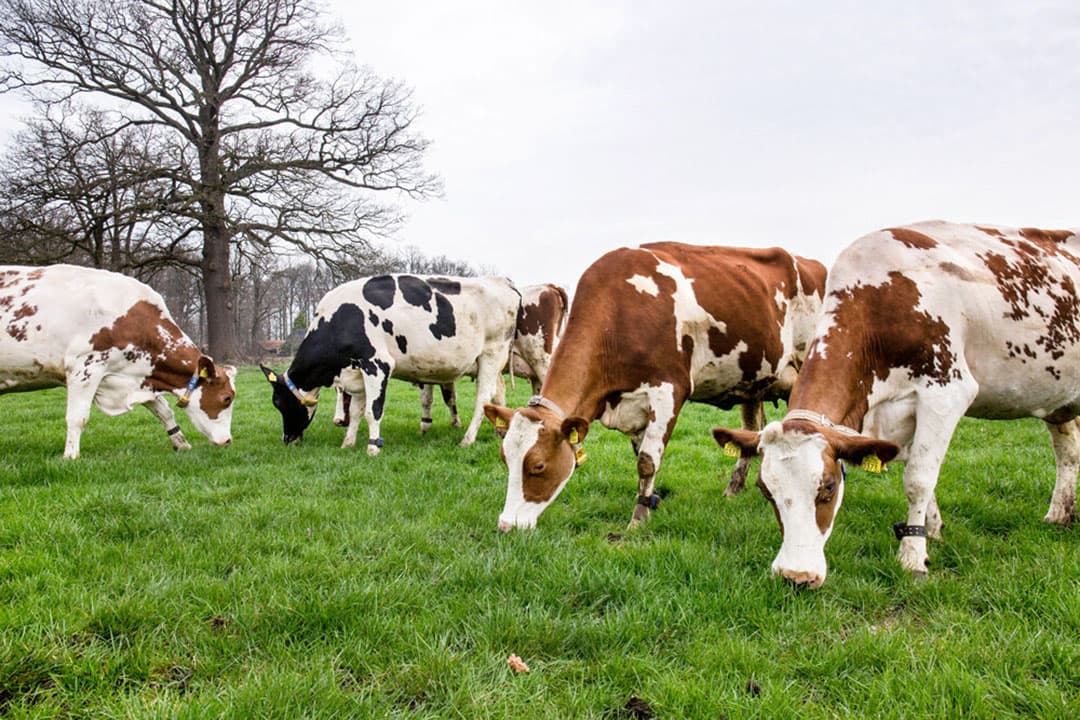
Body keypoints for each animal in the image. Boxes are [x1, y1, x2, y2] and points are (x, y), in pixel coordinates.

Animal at [0, 264, 236, 458]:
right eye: (226, 398)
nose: (227, 440)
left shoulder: (135, 375)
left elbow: (163, 410)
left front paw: (181, 443)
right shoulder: (84, 369)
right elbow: (77, 417)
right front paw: (70, 456)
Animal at [262, 274, 520, 453]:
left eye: (279, 403)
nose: (287, 439)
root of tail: (502, 281)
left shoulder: (377, 364)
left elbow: (372, 411)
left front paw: (373, 446)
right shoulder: (356, 372)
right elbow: (356, 411)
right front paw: (348, 442)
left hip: (491, 354)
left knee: (483, 398)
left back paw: (467, 439)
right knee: (498, 393)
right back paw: (499, 432)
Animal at [484, 242, 827, 531]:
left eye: (538, 465)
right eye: (504, 460)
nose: (506, 525)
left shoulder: (668, 389)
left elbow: (648, 461)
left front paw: (637, 520)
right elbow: (640, 454)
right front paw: (650, 501)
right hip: (752, 379)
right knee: (751, 430)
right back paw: (735, 487)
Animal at [713, 221, 1080, 589]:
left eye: (829, 487)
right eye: (765, 489)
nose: (795, 576)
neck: (880, 300)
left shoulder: (946, 391)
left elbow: (919, 478)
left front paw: (912, 556)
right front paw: (932, 530)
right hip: (1057, 398)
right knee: (1068, 450)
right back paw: (1060, 514)